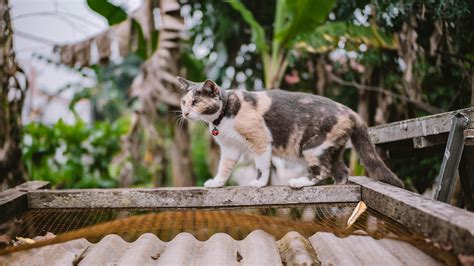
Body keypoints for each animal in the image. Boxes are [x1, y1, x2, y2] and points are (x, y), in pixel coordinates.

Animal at [178, 77, 404, 189]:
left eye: (196, 102)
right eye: (184, 102)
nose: (185, 113)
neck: (224, 114)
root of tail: (351, 111)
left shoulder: (260, 141)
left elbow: (262, 166)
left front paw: (259, 184)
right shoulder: (230, 148)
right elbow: (224, 168)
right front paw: (217, 183)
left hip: (313, 147)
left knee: (322, 170)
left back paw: (299, 182)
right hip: (332, 149)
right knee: (342, 171)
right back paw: (336, 186)